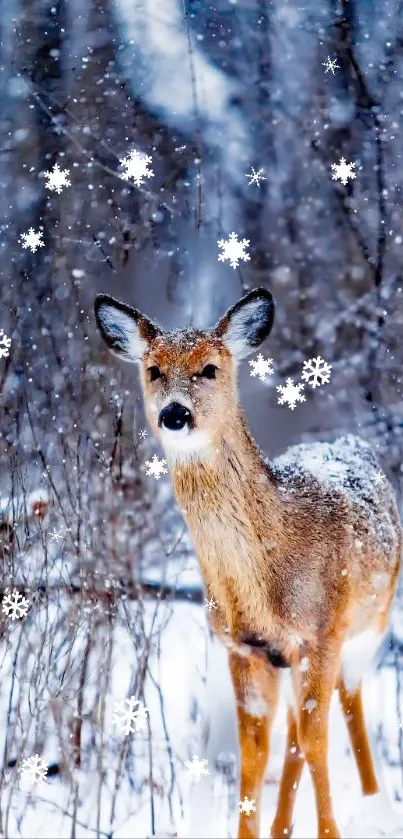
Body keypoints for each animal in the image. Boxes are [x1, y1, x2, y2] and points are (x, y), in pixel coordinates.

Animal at [94, 288, 400, 839]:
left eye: (210, 369)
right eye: (153, 370)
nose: (175, 413)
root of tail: (350, 441)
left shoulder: (322, 632)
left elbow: (318, 740)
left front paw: (330, 832)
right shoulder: (244, 647)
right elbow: (255, 753)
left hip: (373, 620)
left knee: (348, 702)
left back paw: (374, 802)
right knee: (295, 732)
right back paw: (284, 826)